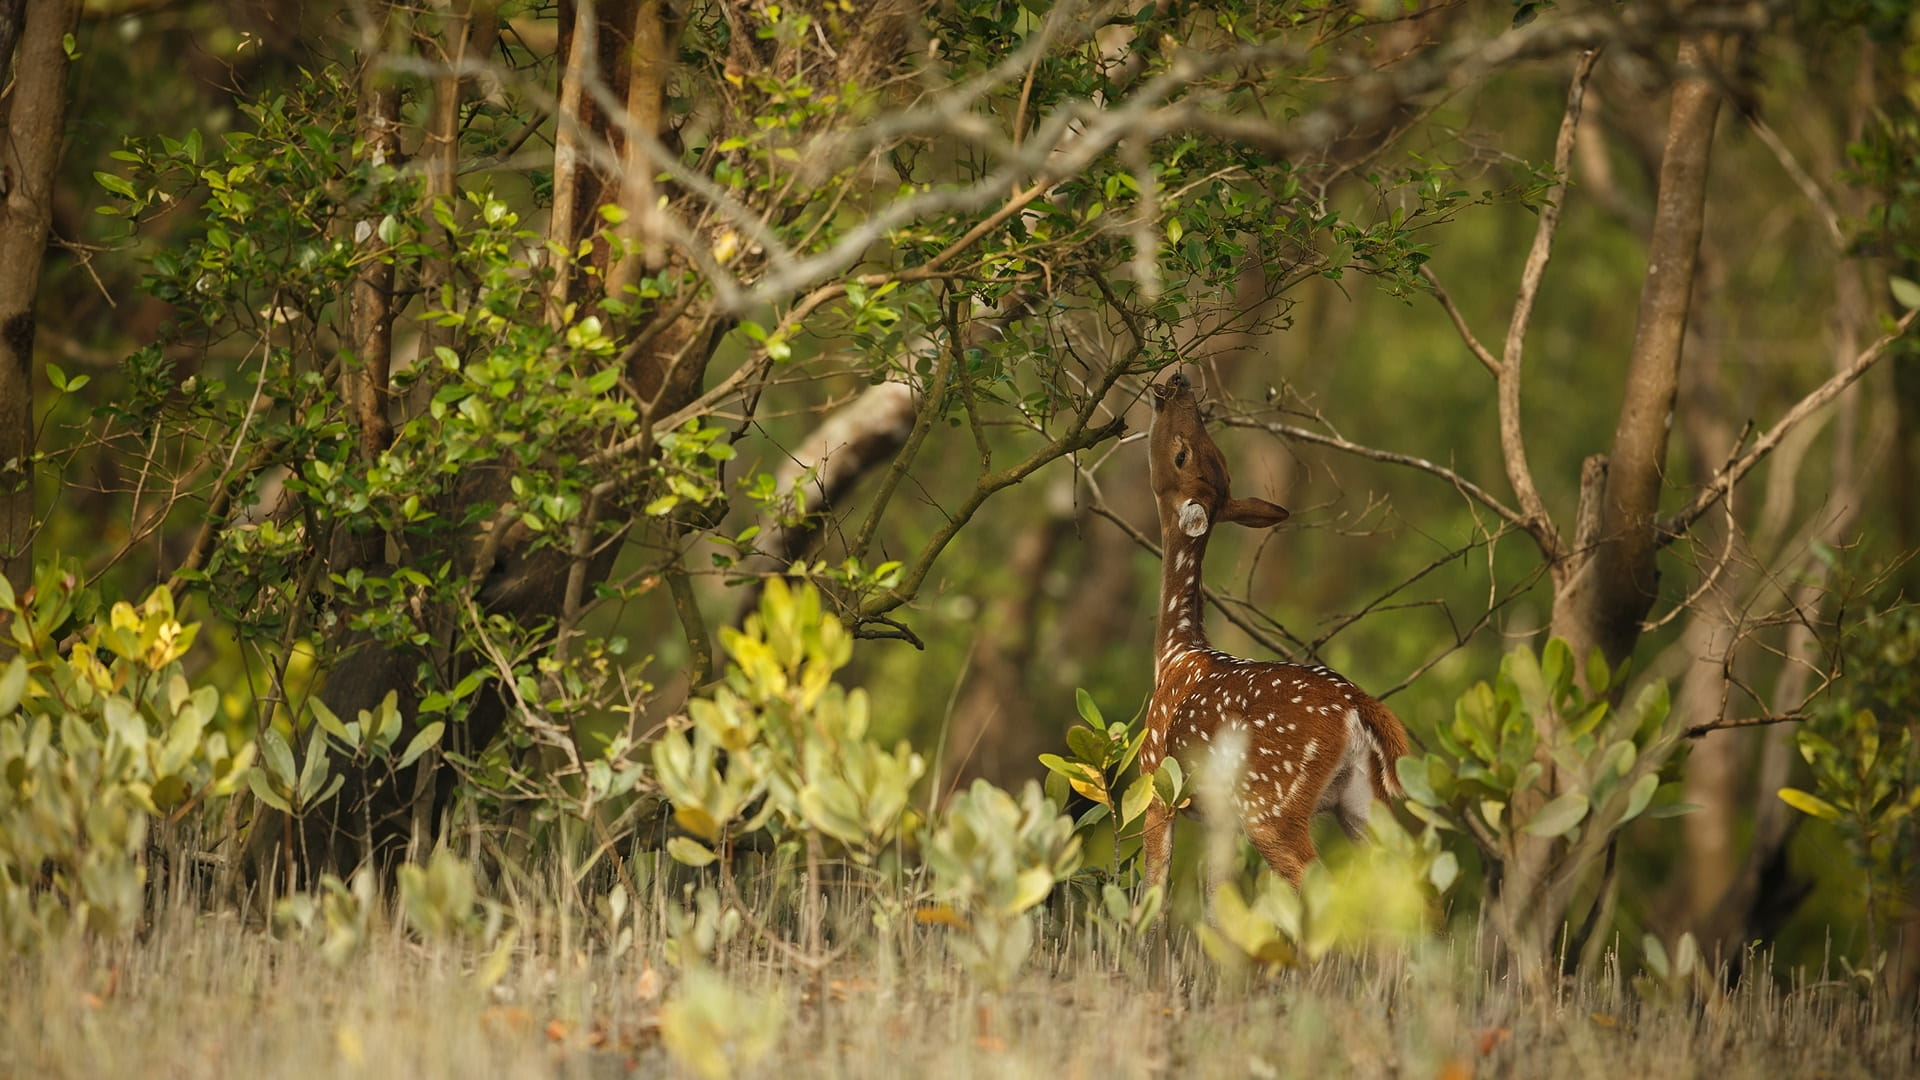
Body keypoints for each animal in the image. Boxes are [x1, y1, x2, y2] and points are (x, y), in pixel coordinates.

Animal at [1139, 372, 1411, 888]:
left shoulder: (1155, 782)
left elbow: (1154, 890)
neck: (1174, 654)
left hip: (1271, 803)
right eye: (1212, 450)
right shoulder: (1217, 816)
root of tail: (1358, 708)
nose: (1179, 382)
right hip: (1362, 801)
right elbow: (1217, 896)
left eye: (1181, 454)